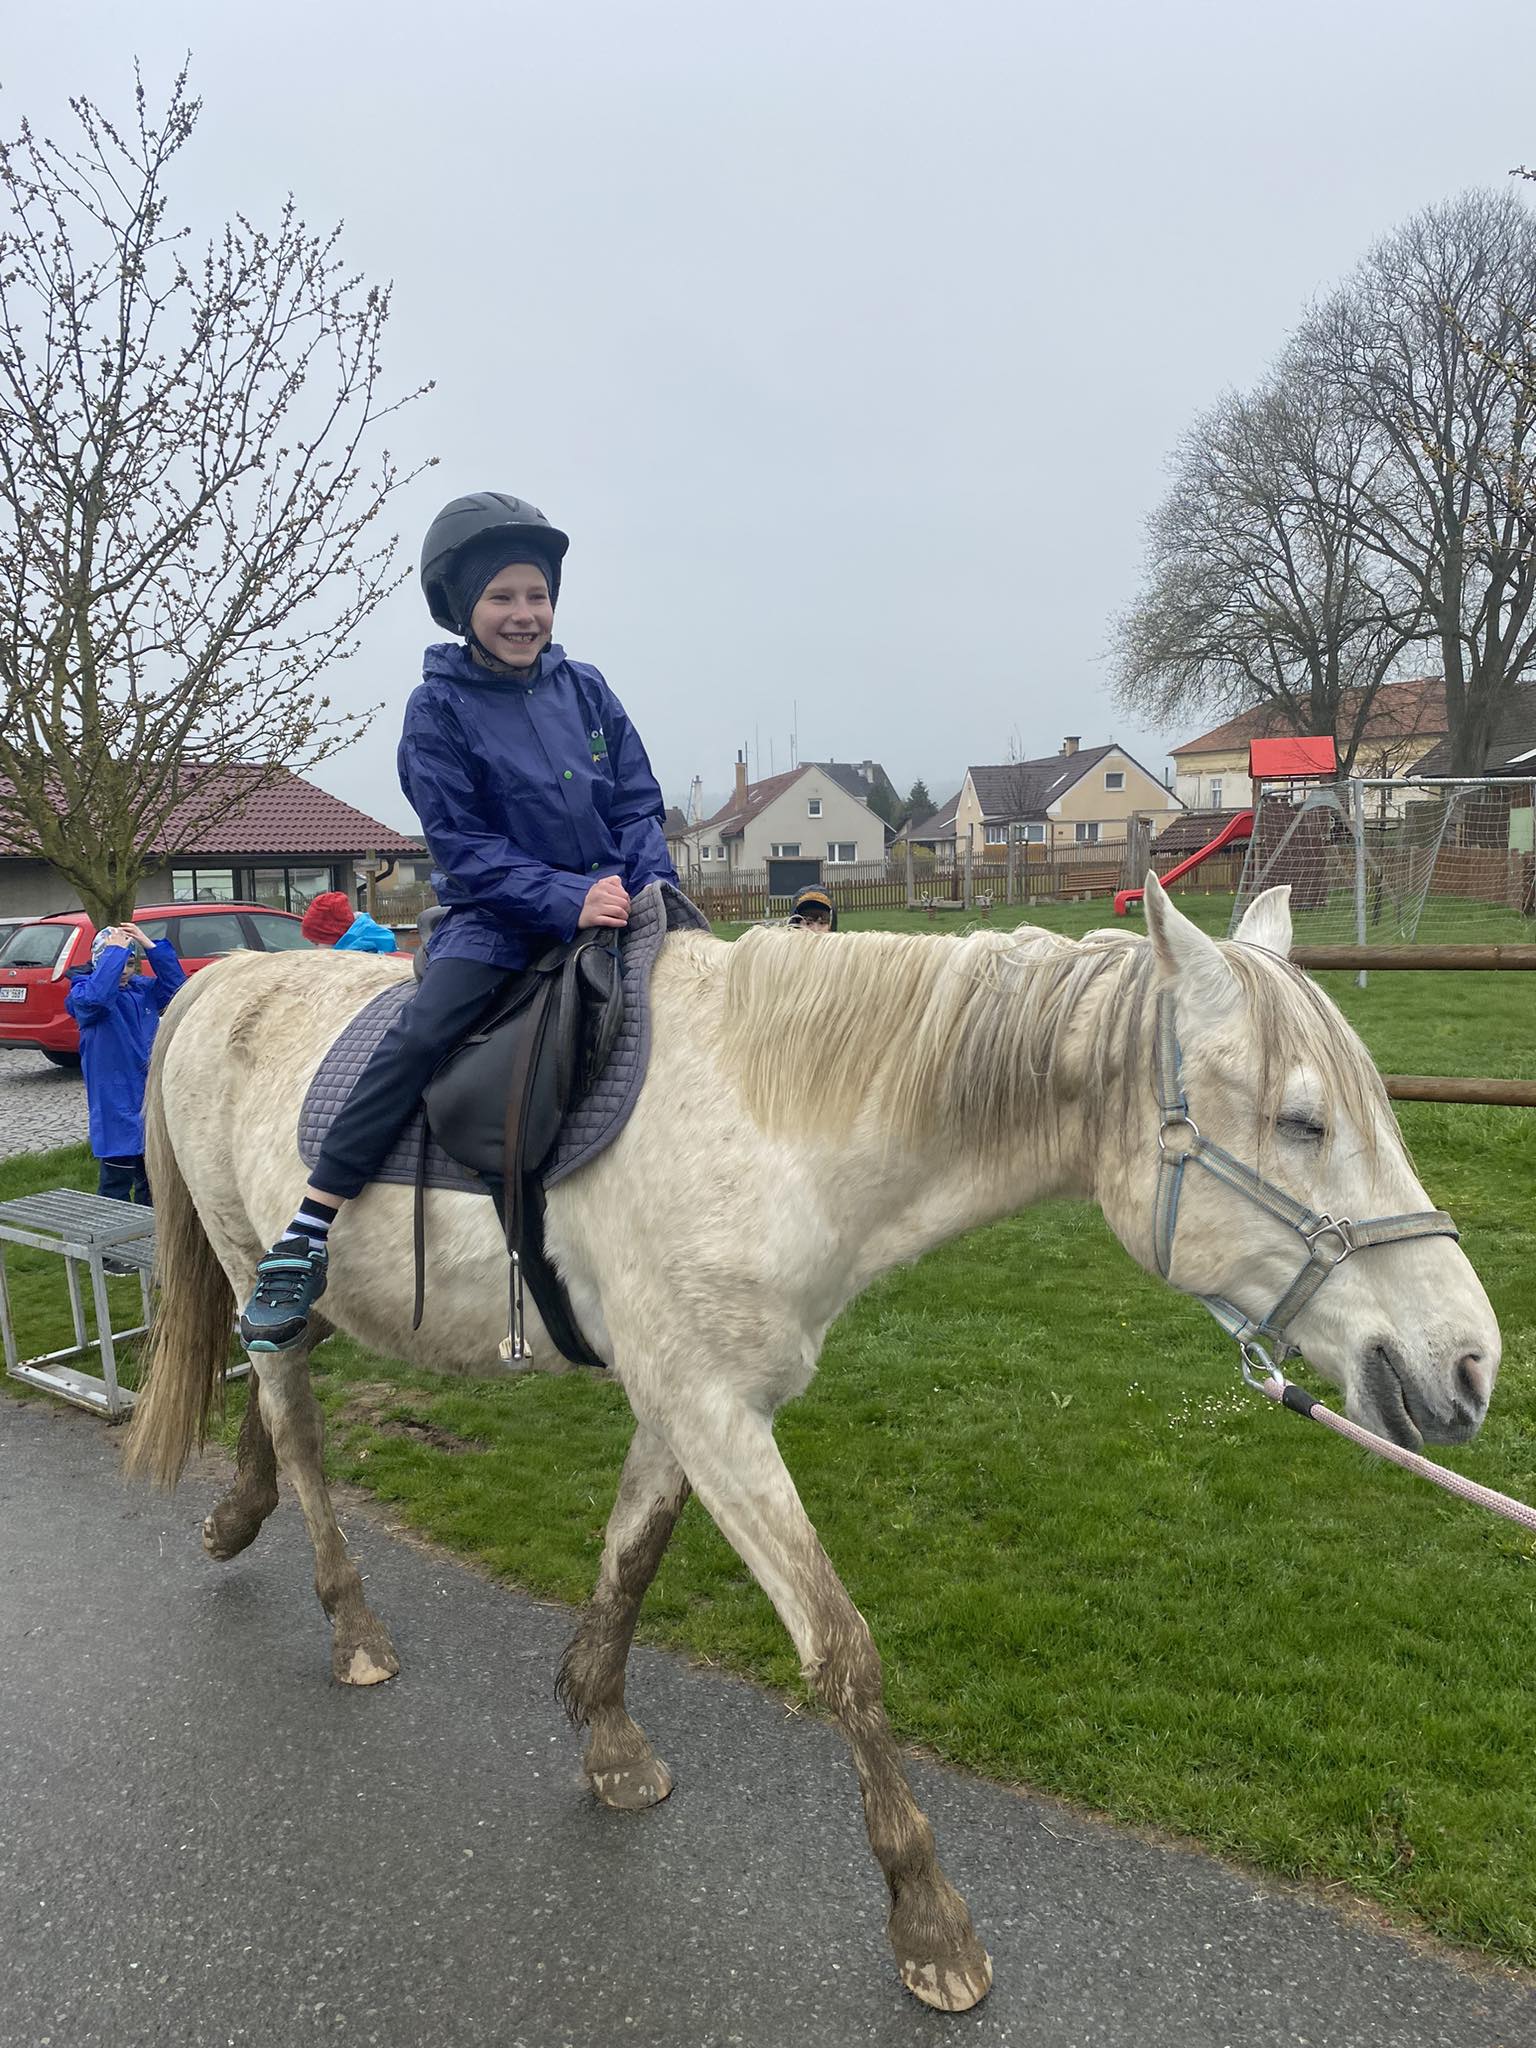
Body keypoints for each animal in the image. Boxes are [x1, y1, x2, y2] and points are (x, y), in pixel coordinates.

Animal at [123, 877, 1500, 2014]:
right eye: (1300, 1122)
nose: (1470, 1366)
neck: (769, 1125)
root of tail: (212, 980)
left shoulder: (693, 1401)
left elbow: (632, 1554)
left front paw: (606, 1736)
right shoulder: (715, 1411)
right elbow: (843, 1649)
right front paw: (930, 1925)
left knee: (270, 1402)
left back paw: (234, 1518)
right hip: (255, 1260)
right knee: (298, 1425)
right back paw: (350, 1622)